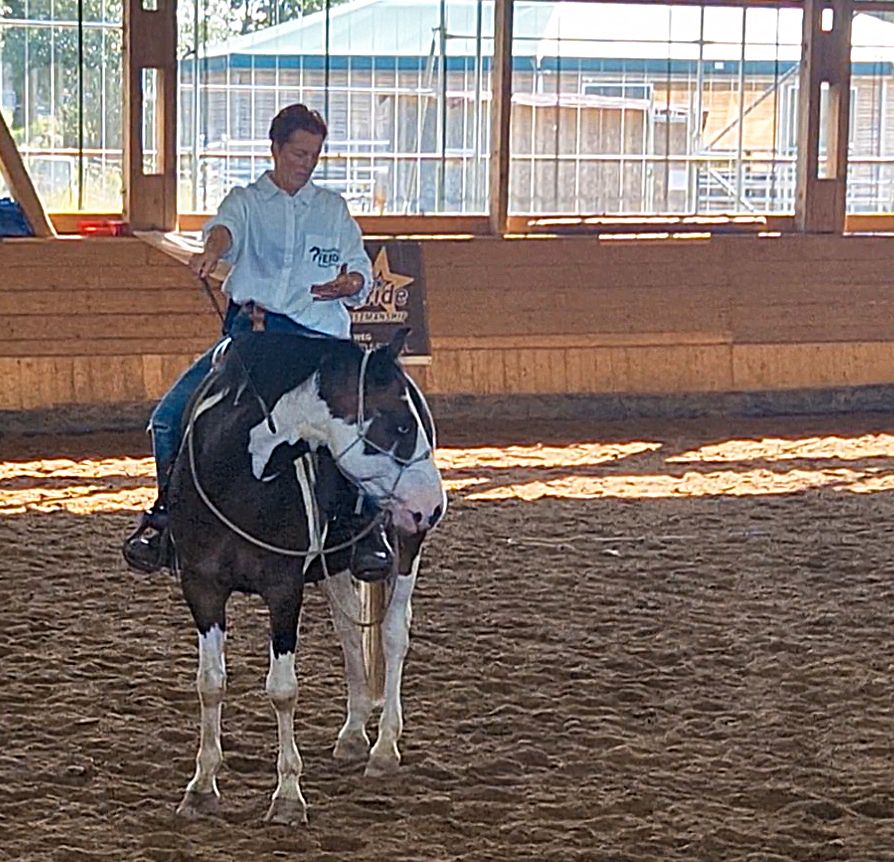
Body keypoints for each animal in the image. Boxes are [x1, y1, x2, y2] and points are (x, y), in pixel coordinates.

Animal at [166, 330, 446, 824]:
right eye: (398, 427)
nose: (434, 503)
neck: (237, 476)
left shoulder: (283, 590)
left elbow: (282, 690)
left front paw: (287, 797)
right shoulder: (201, 587)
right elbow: (210, 684)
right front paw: (200, 787)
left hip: (406, 543)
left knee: (394, 634)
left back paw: (384, 748)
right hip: (337, 565)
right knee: (350, 633)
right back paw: (353, 733)